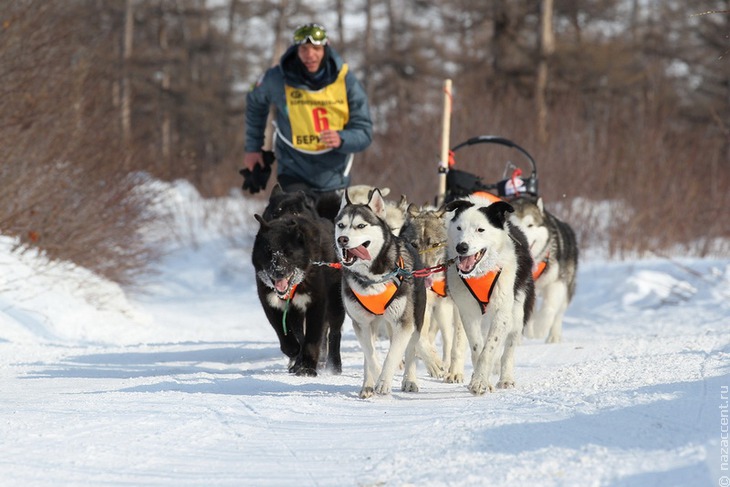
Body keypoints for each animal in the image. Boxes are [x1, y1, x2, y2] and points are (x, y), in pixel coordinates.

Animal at [250, 214, 344, 378]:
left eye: (288, 252)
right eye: (269, 252)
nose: (279, 271)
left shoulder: (316, 305)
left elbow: (312, 339)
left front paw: (308, 368)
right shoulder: (272, 306)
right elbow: (287, 338)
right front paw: (296, 356)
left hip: (335, 305)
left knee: (334, 333)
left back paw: (334, 365)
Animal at [332, 189, 424, 398]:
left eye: (361, 225)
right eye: (341, 225)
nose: (342, 239)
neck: (373, 277)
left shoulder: (403, 323)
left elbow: (393, 355)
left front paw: (383, 382)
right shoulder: (361, 323)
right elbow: (371, 355)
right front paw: (376, 377)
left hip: (416, 319)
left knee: (411, 350)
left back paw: (410, 380)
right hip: (374, 324)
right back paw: (367, 385)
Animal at [440, 196, 532, 394]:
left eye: (480, 229)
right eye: (459, 228)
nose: (461, 247)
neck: (480, 273)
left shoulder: (502, 312)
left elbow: (490, 348)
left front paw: (481, 381)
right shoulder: (467, 312)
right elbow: (478, 347)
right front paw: (479, 379)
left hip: (517, 314)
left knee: (508, 349)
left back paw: (506, 379)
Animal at [506, 197, 576, 344]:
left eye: (530, 225)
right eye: (513, 225)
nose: (522, 238)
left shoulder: (556, 283)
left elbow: (549, 308)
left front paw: (540, 328)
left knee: (558, 313)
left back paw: (553, 335)